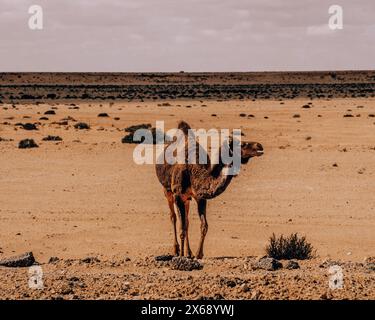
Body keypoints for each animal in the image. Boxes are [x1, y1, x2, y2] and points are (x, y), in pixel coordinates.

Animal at [154, 121, 262, 258]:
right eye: (242, 144)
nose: (259, 145)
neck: (194, 172)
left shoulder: (200, 197)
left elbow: (203, 225)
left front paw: (198, 254)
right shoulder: (178, 194)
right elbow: (181, 227)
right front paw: (181, 256)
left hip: (187, 198)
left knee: (187, 221)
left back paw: (188, 252)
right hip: (167, 190)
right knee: (173, 217)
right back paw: (177, 250)